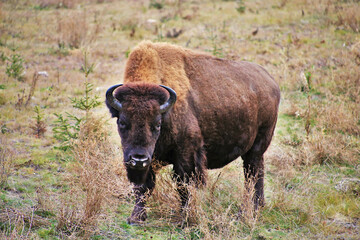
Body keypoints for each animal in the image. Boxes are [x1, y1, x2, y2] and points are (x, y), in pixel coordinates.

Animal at [105, 40, 280, 223]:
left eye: (157, 124)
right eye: (122, 122)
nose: (138, 159)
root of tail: (270, 81)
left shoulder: (186, 154)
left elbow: (183, 185)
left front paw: (185, 218)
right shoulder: (149, 160)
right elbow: (144, 186)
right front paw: (136, 217)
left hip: (258, 144)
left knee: (252, 173)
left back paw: (248, 210)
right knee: (257, 172)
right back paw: (258, 206)